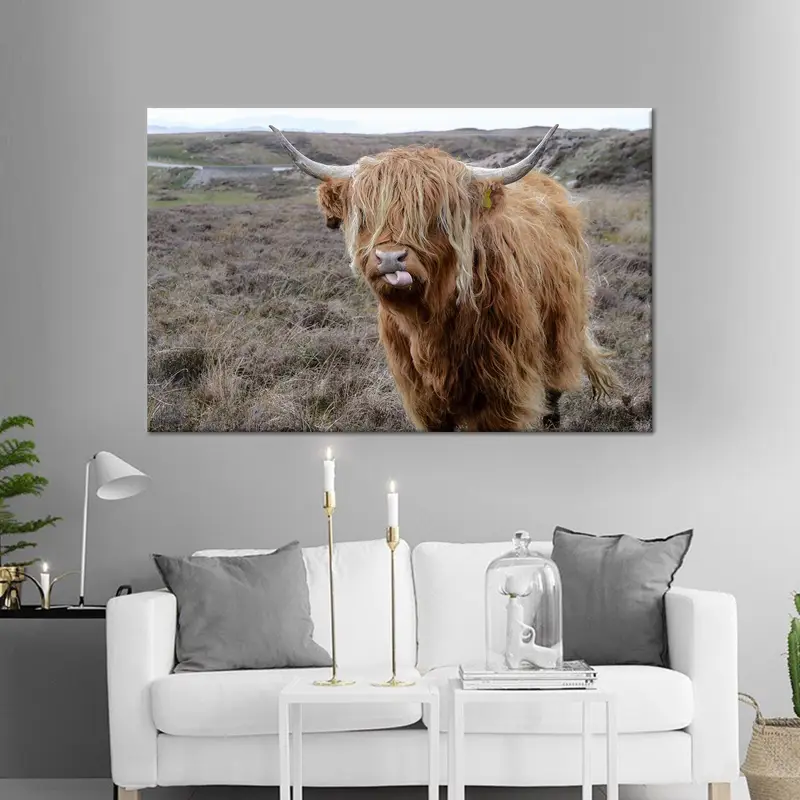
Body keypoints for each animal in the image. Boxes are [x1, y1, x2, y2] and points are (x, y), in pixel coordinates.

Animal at [270, 124, 619, 432]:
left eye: (436, 215)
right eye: (366, 215)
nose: (390, 258)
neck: (430, 324)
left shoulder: (501, 396)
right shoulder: (423, 399)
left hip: (560, 336)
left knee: (552, 399)